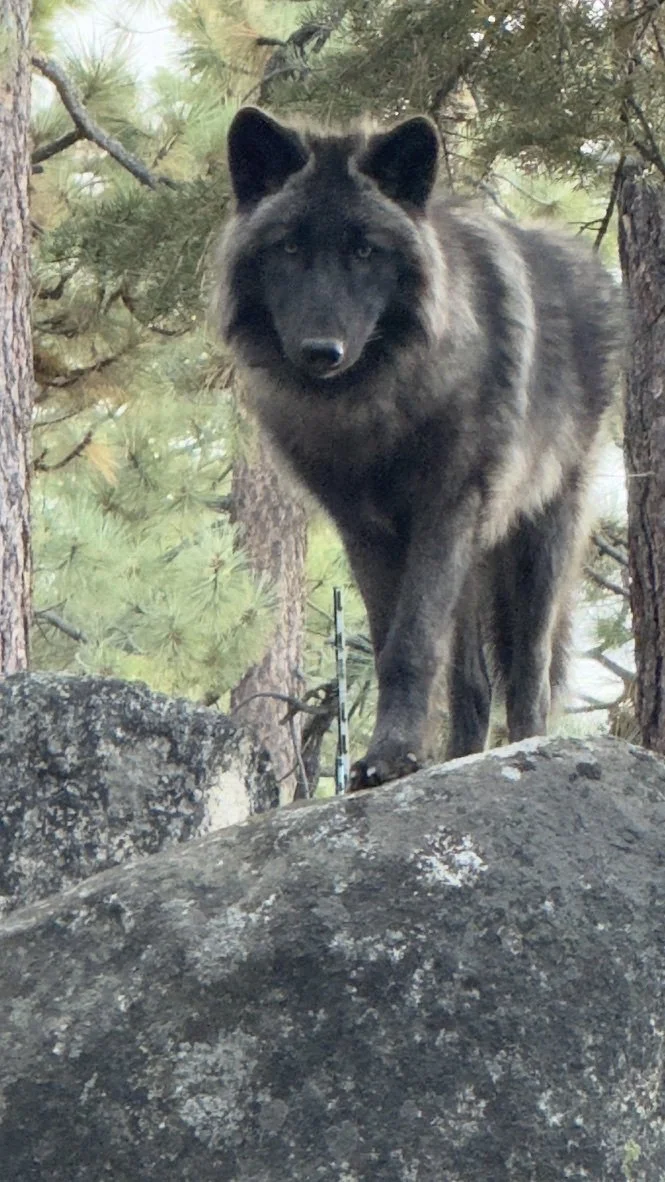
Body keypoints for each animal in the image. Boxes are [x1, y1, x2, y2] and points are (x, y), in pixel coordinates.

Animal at [213, 107, 624, 790]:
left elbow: (412, 645)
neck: (375, 412)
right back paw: (462, 758)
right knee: (474, 685)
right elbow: (389, 646)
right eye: (290, 247)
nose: (321, 351)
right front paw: (395, 755)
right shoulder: (364, 530)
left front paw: (390, 756)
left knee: (529, 671)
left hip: (538, 538)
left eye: (363, 251)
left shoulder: (446, 506)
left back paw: (526, 751)